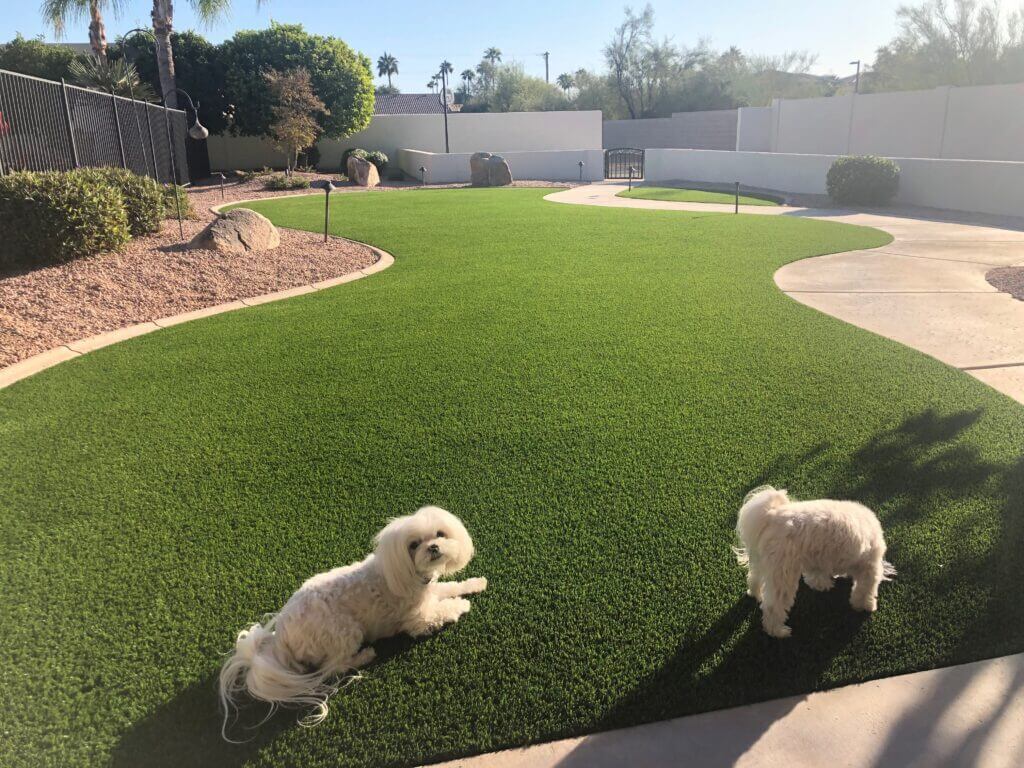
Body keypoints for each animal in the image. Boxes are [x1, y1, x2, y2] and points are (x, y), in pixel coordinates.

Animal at [217, 505, 487, 733]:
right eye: (413, 545)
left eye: (440, 534)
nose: (433, 547)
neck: (406, 574)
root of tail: (279, 639)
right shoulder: (418, 620)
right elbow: (443, 609)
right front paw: (462, 605)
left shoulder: (430, 594)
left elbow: (450, 587)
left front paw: (475, 584)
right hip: (344, 630)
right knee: (335, 665)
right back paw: (365, 655)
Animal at [733, 487, 892, 638]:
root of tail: (771, 515)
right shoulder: (869, 567)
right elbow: (865, 589)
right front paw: (865, 604)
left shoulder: (819, 559)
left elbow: (817, 576)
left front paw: (822, 584)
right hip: (783, 574)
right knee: (773, 607)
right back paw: (779, 631)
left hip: (763, 563)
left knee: (753, 579)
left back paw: (756, 594)